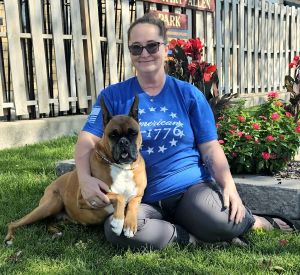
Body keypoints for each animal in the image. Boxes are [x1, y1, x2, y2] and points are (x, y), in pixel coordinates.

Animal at [4, 96, 146, 245]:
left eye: (133, 133)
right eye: (112, 135)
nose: (123, 142)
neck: (122, 168)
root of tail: (51, 184)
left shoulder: (137, 195)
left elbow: (132, 204)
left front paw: (130, 225)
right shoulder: (87, 196)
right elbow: (119, 197)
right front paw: (118, 222)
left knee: (47, 222)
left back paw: (55, 232)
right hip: (50, 204)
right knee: (14, 222)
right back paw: (10, 238)